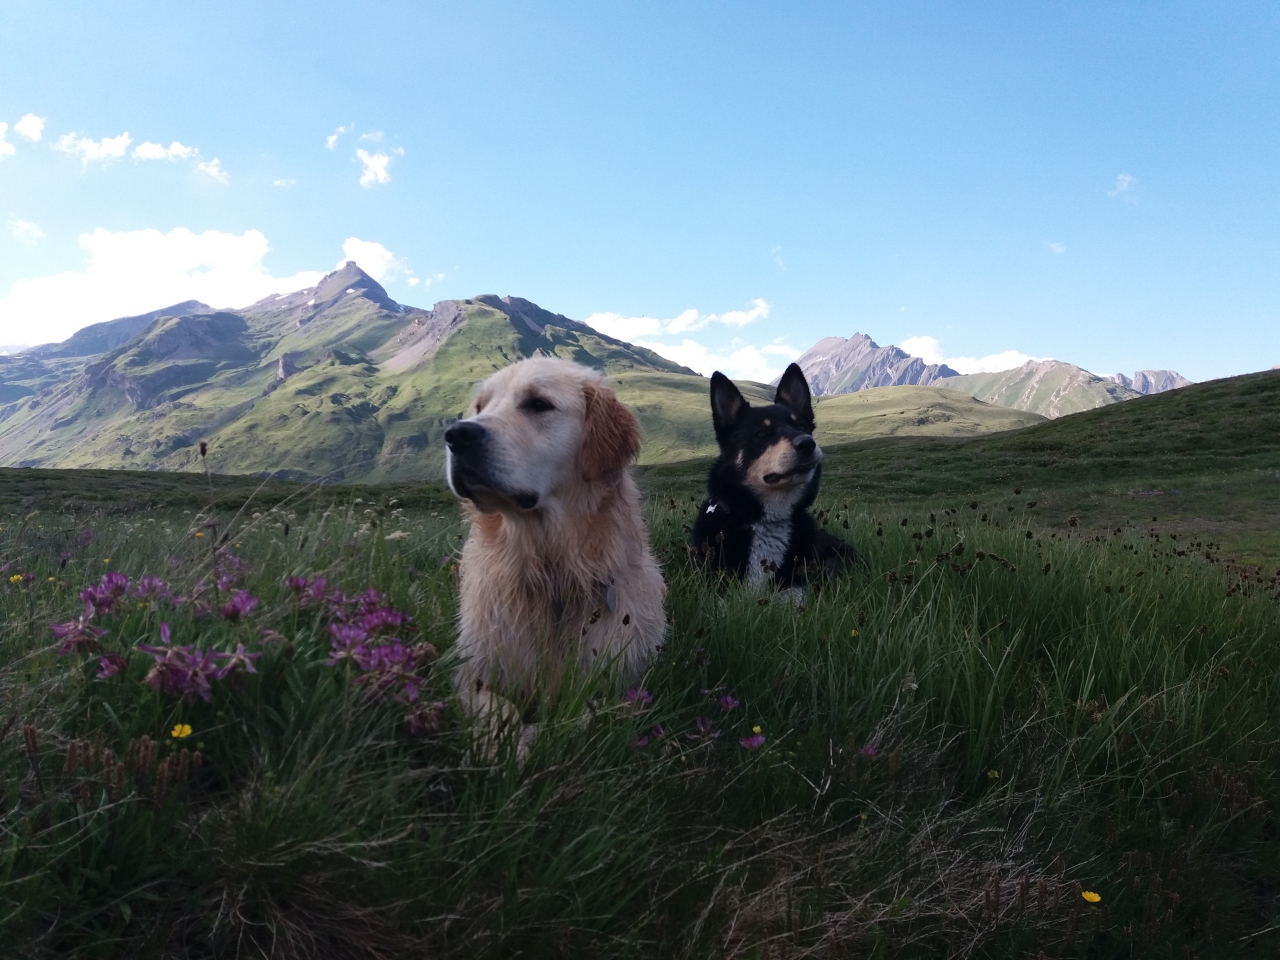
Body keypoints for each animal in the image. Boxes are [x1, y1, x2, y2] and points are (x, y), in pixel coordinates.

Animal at [445, 357, 666, 751]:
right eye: (480, 407)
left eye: (538, 404)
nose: (456, 434)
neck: (553, 575)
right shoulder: (471, 670)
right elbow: (500, 709)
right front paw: (508, 747)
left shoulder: (627, 684)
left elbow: (586, 715)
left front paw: (540, 736)